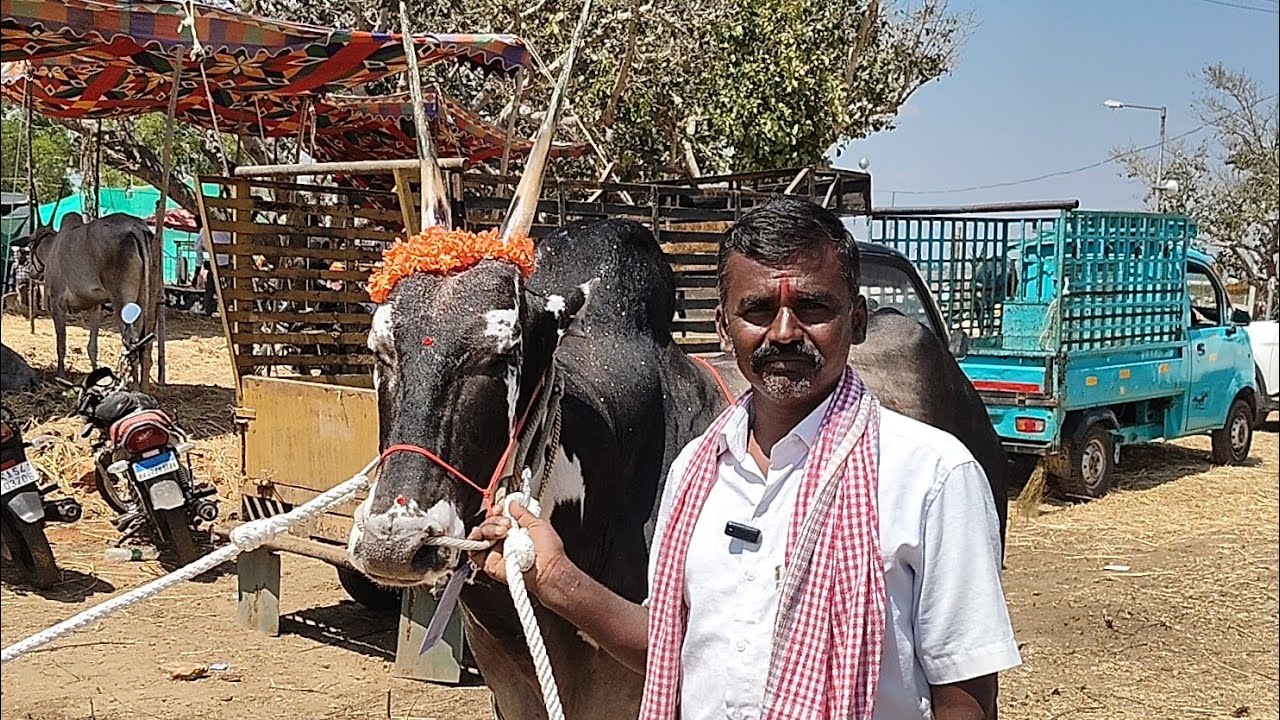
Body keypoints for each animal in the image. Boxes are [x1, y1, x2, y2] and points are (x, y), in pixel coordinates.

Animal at [18, 212, 154, 381]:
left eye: (30, 248)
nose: (30, 272)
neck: (52, 247)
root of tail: (135, 227)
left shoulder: (57, 303)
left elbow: (61, 343)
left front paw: (60, 375)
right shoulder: (95, 306)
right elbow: (92, 347)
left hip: (121, 303)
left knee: (130, 342)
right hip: (141, 301)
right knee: (141, 344)